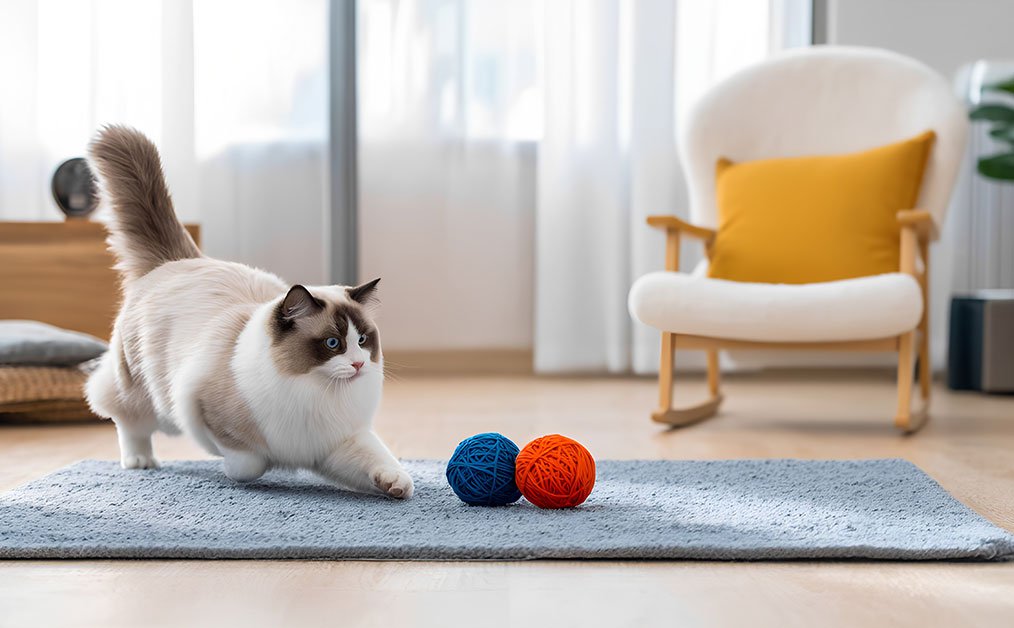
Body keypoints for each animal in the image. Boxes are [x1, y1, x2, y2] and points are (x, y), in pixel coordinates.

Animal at [84, 125, 413, 499]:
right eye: (333, 343)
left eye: (362, 340)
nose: (358, 364)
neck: (316, 392)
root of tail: (179, 260)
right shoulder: (200, 403)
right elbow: (247, 462)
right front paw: (239, 468)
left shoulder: (335, 442)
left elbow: (379, 459)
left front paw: (397, 485)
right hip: (153, 402)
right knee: (126, 419)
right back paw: (140, 461)